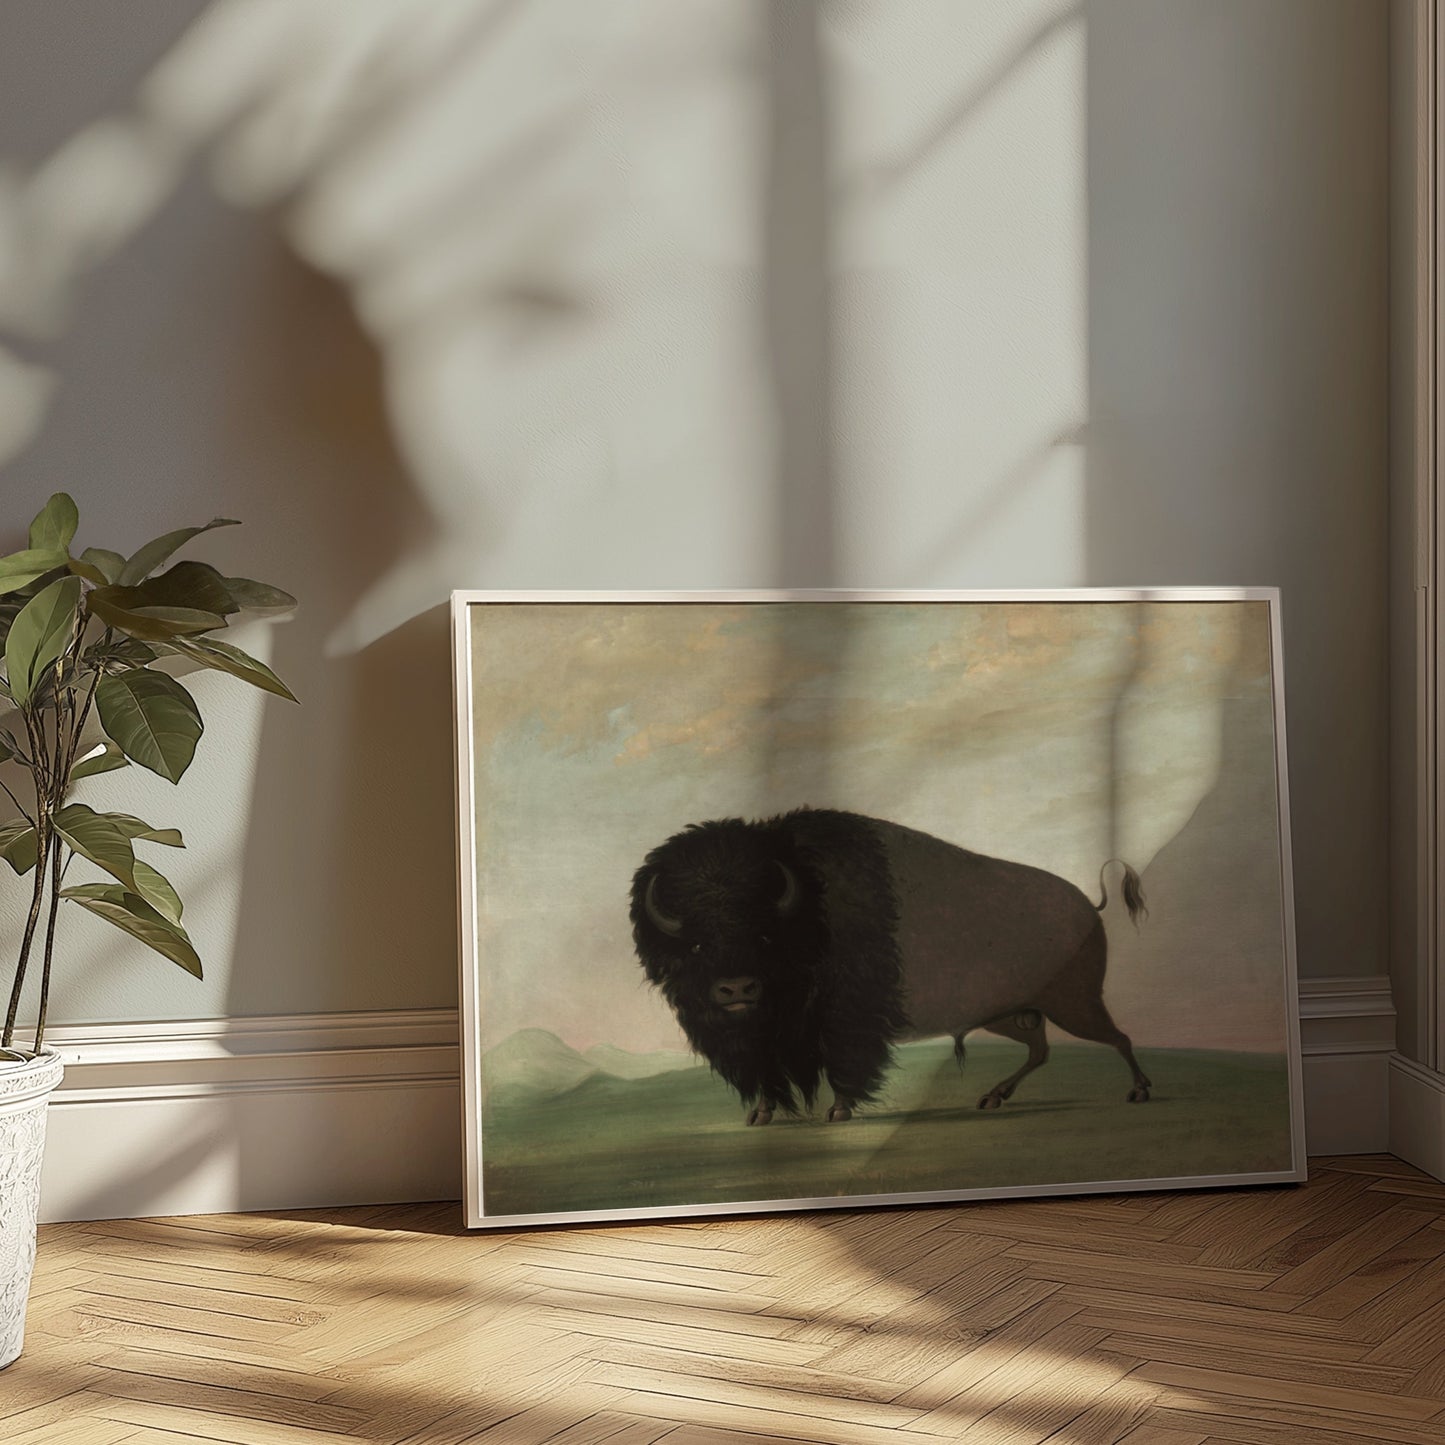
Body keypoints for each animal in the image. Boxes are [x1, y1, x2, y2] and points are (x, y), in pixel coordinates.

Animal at [630, 807, 1150, 1125]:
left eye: (764, 936)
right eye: (697, 945)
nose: (736, 989)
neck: (809, 904)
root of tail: (1088, 907)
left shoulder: (845, 1022)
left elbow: (845, 1065)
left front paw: (838, 1112)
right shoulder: (769, 1040)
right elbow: (768, 1075)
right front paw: (759, 1117)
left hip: (1074, 1004)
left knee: (1118, 1038)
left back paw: (1140, 1092)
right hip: (1011, 1016)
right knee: (1041, 1049)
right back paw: (991, 1098)